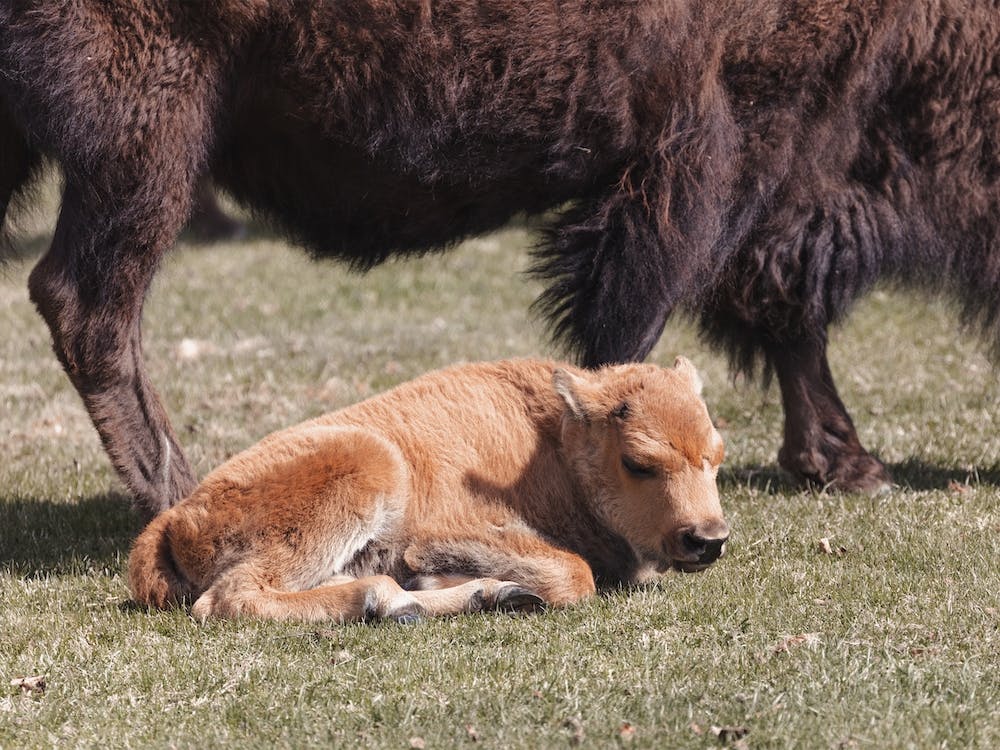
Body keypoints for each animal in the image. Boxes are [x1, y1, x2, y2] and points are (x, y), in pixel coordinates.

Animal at [1, 1, 997, 517]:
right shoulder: (717, 154)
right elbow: (642, 327)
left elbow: (786, 315)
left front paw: (846, 461)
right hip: (146, 139)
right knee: (89, 302)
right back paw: (177, 493)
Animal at [127, 357, 729, 622]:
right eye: (638, 463)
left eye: (717, 457)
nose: (709, 539)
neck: (552, 443)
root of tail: (176, 516)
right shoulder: (456, 529)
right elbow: (574, 574)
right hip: (363, 471)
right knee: (230, 598)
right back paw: (390, 600)